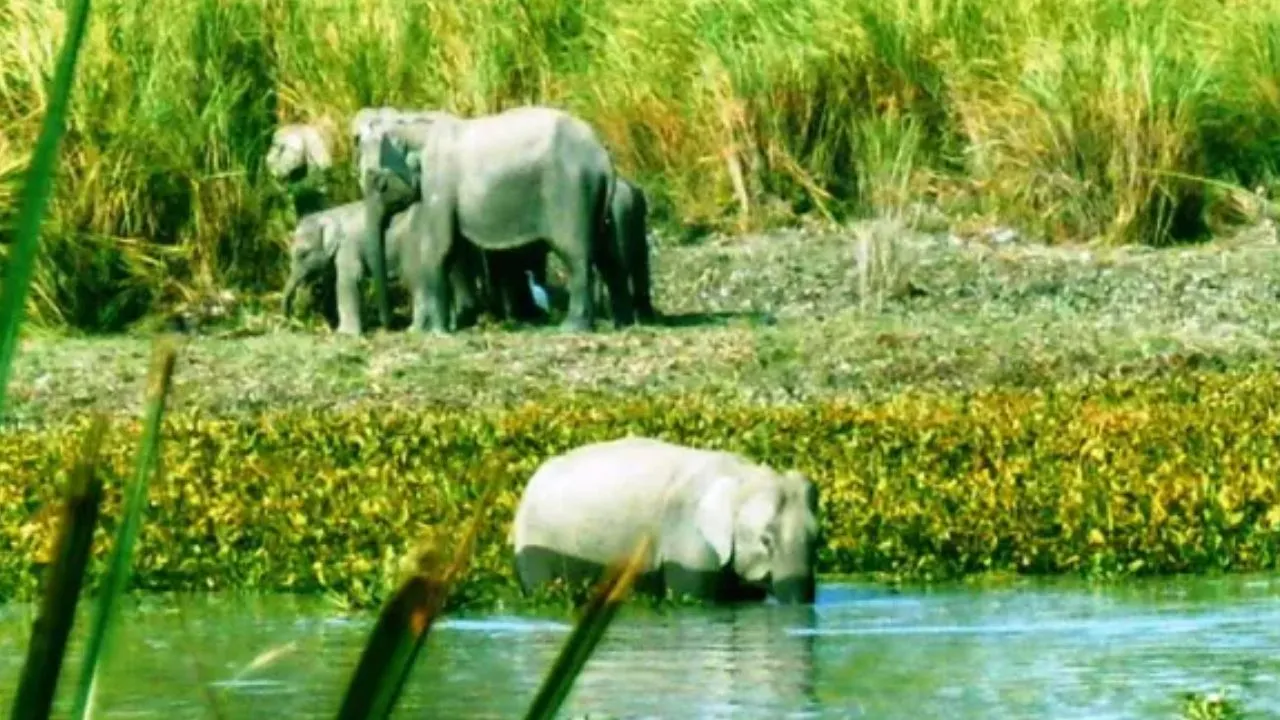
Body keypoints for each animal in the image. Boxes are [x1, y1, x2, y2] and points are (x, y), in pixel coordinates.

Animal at [354, 104, 631, 336]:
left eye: (379, 183)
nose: (389, 326)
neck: (413, 127)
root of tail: (602, 155)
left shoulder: (438, 183)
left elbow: (439, 249)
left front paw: (437, 333)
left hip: (572, 191)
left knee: (577, 256)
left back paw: (571, 328)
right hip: (595, 195)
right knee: (610, 256)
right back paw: (622, 324)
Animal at [510, 436, 820, 605]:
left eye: (818, 540)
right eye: (766, 540)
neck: (741, 474)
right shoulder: (687, 534)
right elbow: (691, 596)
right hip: (535, 542)